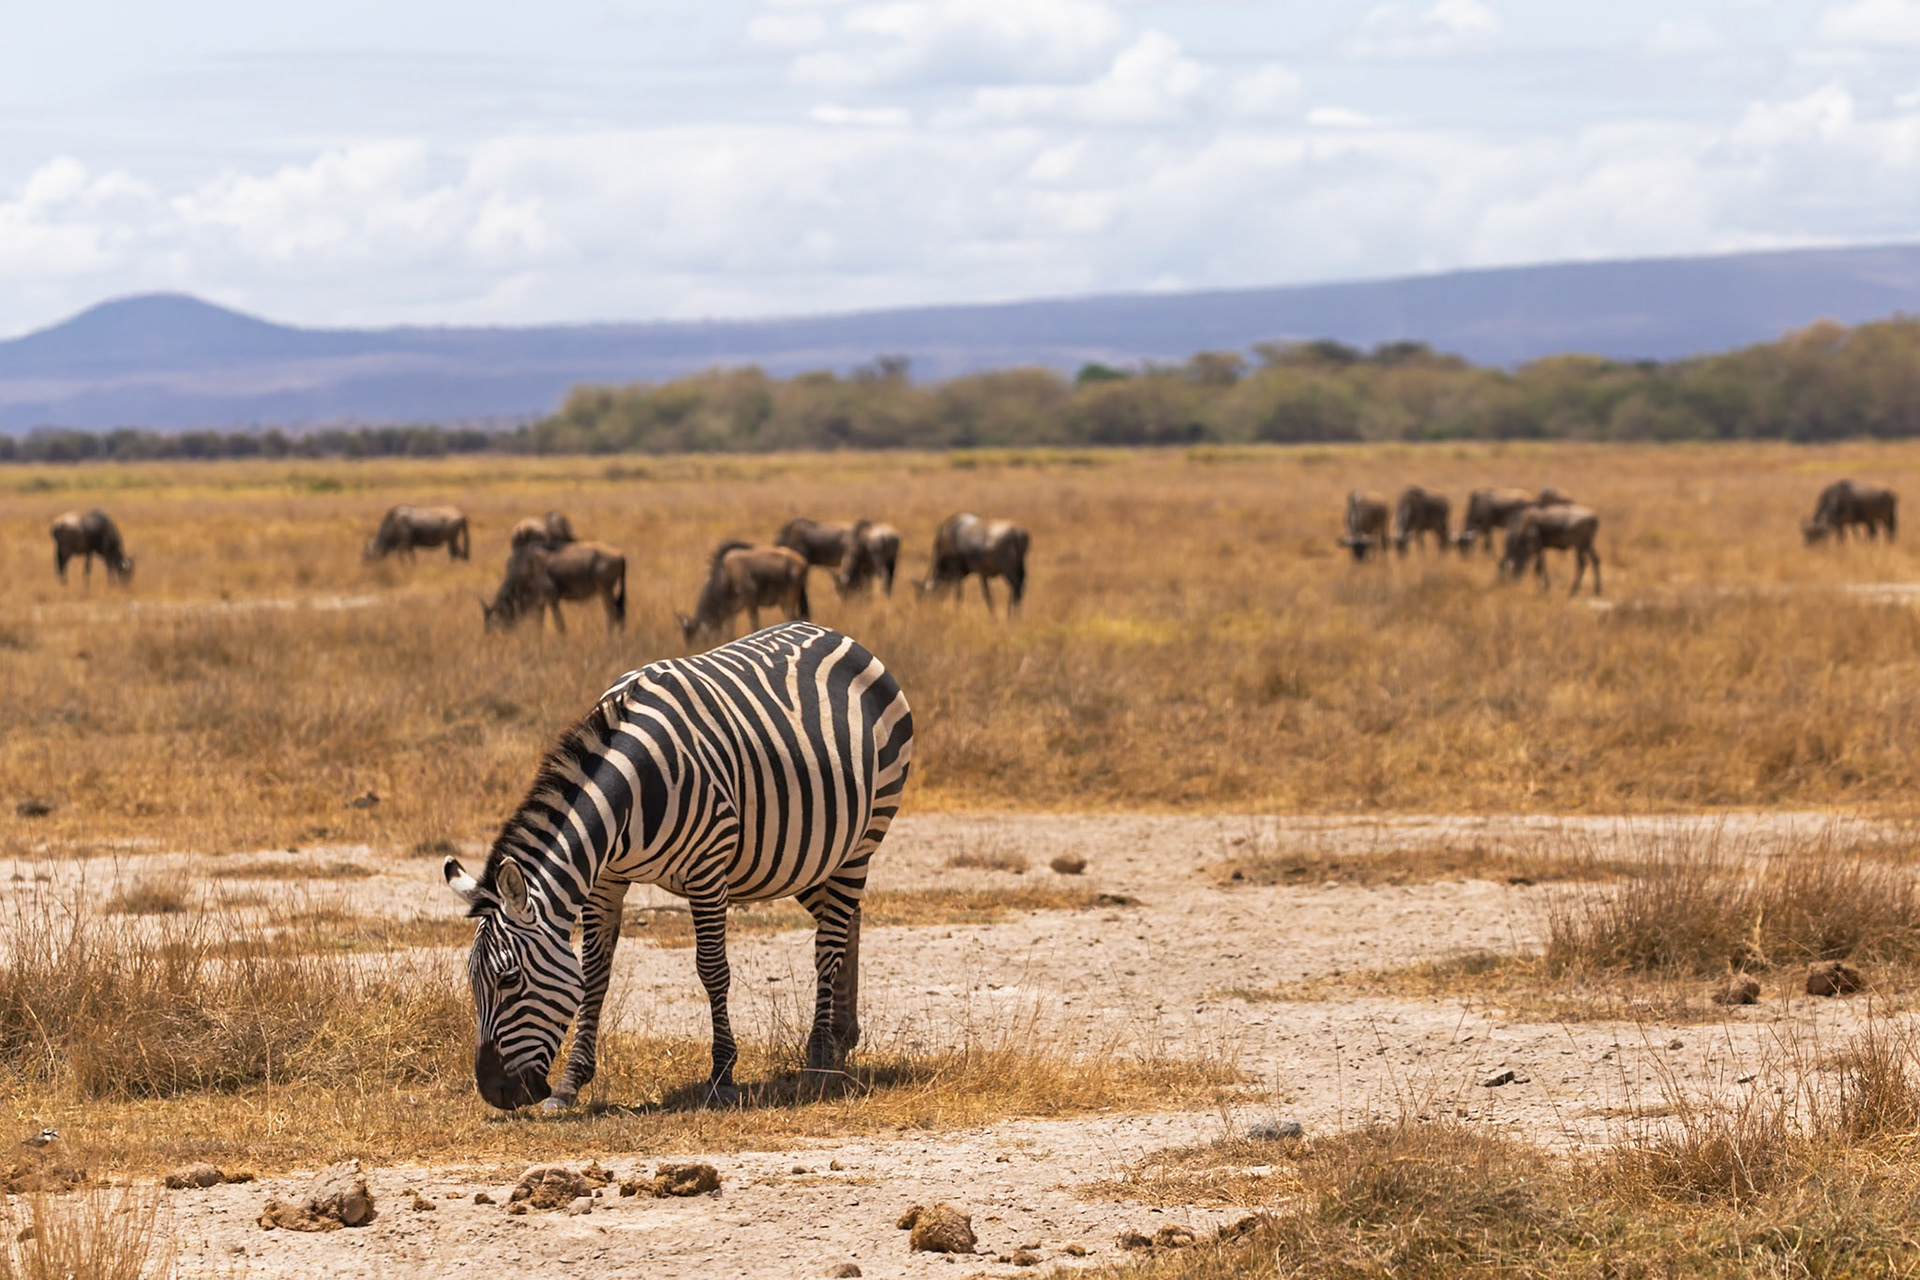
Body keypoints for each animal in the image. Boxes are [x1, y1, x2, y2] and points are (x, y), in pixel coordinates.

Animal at [443, 621, 913, 1111]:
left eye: (509, 979)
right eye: (473, 981)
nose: (494, 1092)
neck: (627, 795)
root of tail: (835, 633)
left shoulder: (707, 870)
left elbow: (712, 970)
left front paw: (722, 1075)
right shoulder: (604, 879)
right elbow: (594, 974)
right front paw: (572, 1081)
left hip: (863, 838)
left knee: (828, 946)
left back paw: (820, 1058)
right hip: (808, 854)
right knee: (847, 920)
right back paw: (842, 1039)